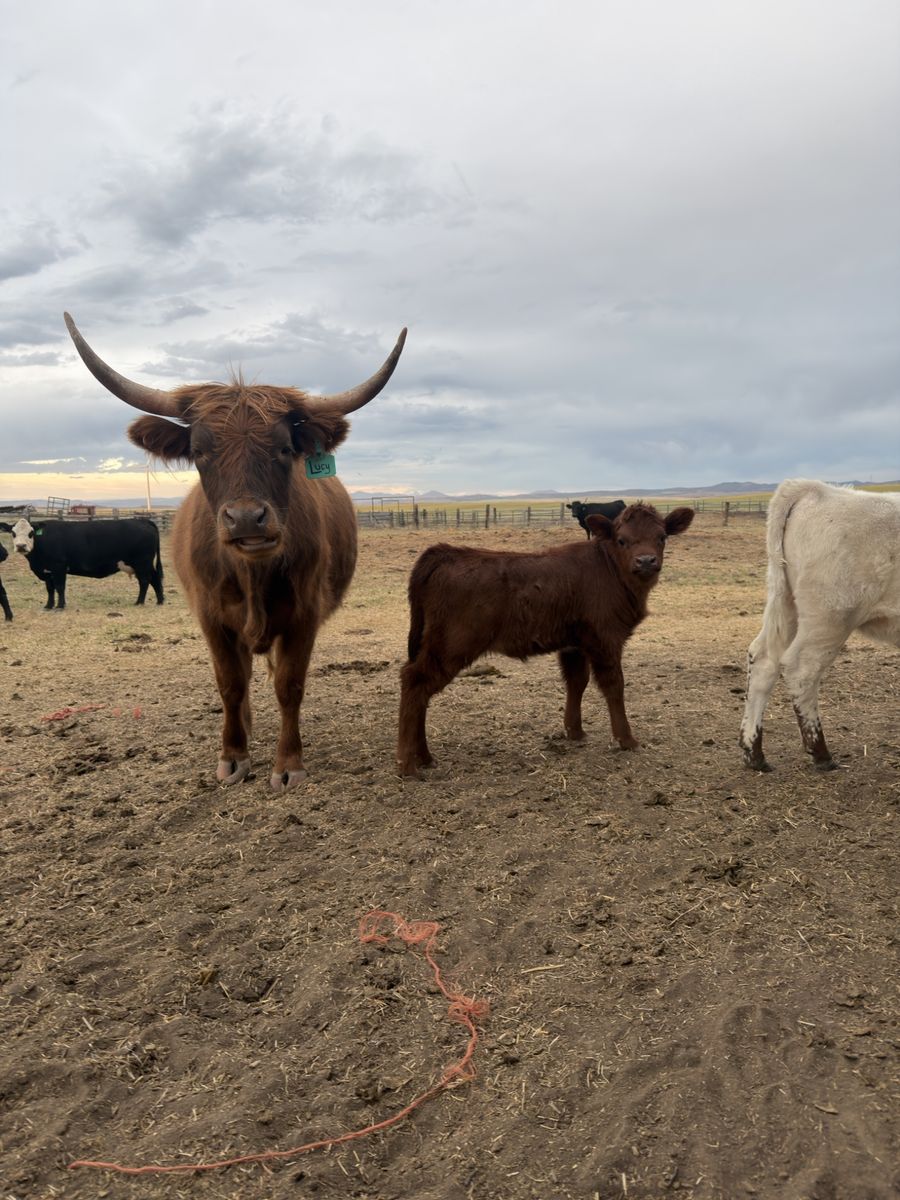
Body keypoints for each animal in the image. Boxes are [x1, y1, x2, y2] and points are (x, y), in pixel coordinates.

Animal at [0, 516, 163, 610]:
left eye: (31, 533)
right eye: (13, 533)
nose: (21, 546)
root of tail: (143, 520)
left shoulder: (59, 567)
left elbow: (59, 587)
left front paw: (60, 606)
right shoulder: (47, 571)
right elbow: (50, 589)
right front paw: (48, 606)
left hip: (142, 563)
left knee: (145, 581)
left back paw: (139, 602)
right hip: (146, 564)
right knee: (155, 578)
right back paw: (160, 601)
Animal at [64, 311, 406, 792]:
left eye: (285, 448)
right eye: (199, 451)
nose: (246, 519)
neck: (252, 571)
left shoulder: (304, 615)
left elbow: (289, 685)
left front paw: (288, 763)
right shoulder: (212, 618)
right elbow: (229, 683)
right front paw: (233, 756)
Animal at [397, 501, 694, 777]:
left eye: (662, 537)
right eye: (622, 540)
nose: (646, 561)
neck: (611, 570)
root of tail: (444, 552)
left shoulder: (574, 643)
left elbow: (577, 682)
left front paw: (575, 731)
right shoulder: (606, 638)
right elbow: (614, 686)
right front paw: (627, 739)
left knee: (419, 689)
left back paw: (425, 757)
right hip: (452, 644)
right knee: (415, 683)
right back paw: (408, 764)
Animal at [740, 479, 900, 772]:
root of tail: (816, 489)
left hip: (787, 606)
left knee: (763, 660)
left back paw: (753, 753)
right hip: (830, 618)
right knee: (801, 670)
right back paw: (820, 752)